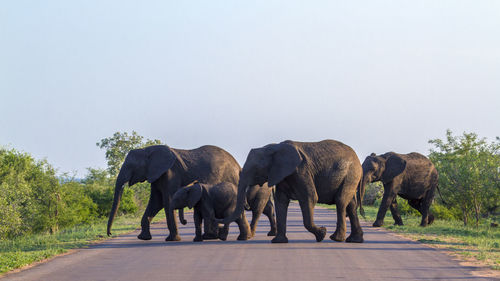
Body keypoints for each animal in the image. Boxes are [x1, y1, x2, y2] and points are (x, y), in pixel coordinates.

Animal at [106, 144, 239, 241]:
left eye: (130, 166)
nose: (110, 234)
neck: (148, 150)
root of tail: (237, 164)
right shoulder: (157, 175)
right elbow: (156, 202)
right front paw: (143, 238)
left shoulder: (171, 174)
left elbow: (167, 200)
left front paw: (172, 240)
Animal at [221, 140, 366, 243]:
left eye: (256, 169)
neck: (275, 148)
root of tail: (357, 158)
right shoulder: (281, 175)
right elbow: (281, 202)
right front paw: (278, 241)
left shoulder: (300, 171)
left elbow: (310, 197)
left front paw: (322, 234)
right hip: (351, 176)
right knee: (350, 205)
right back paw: (354, 240)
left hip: (351, 173)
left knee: (341, 201)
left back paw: (336, 238)